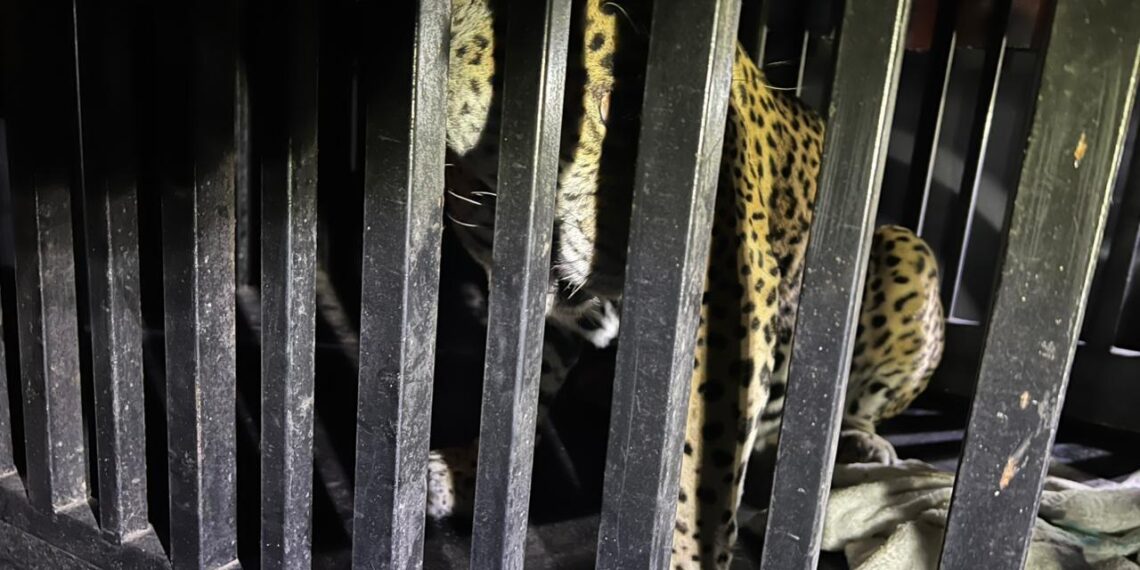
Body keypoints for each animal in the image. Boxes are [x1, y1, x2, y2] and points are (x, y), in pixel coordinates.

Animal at [423, 0, 946, 567]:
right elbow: (516, 394)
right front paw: (467, 476)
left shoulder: (731, 302)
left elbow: (702, 469)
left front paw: (688, 555)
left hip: (907, 250)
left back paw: (856, 444)